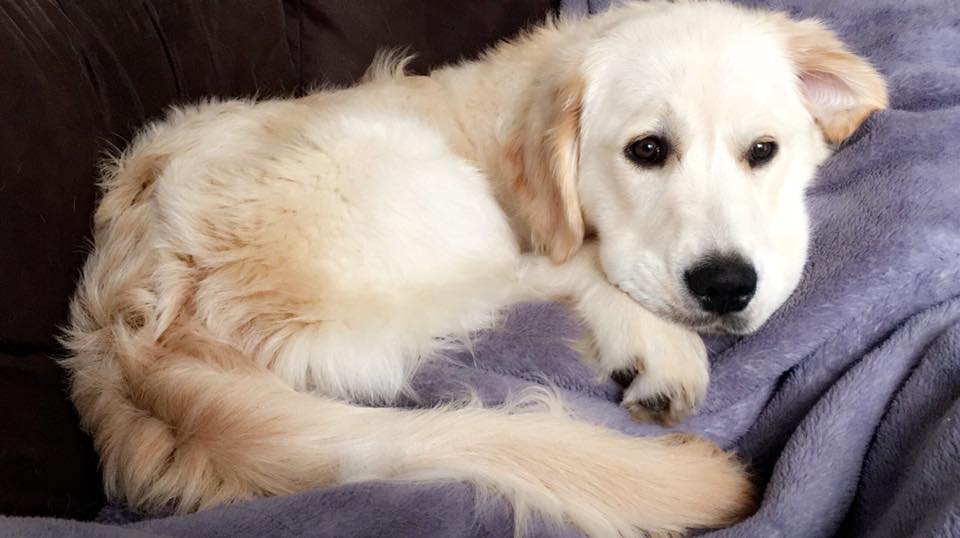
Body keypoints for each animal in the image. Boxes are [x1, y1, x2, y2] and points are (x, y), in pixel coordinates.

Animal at [62, 2, 884, 532]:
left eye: (763, 150)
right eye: (647, 149)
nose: (725, 287)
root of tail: (137, 342)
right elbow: (578, 259)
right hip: (431, 187)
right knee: (541, 272)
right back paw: (656, 346)